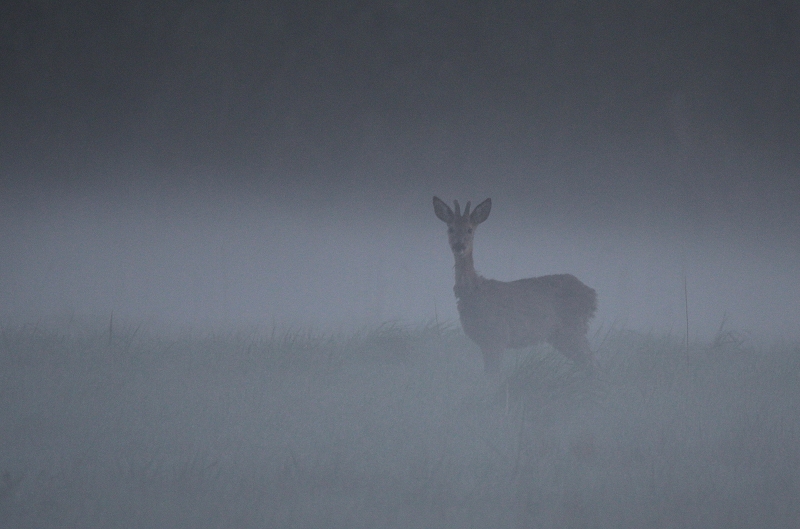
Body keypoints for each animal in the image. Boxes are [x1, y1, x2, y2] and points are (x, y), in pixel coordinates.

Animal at [434, 196, 596, 374]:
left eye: (470, 230)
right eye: (450, 229)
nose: (459, 246)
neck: (475, 290)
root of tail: (592, 295)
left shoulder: (497, 336)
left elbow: (493, 375)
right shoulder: (485, 341)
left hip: (572, 328)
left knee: (591, 361)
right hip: (561, 335)